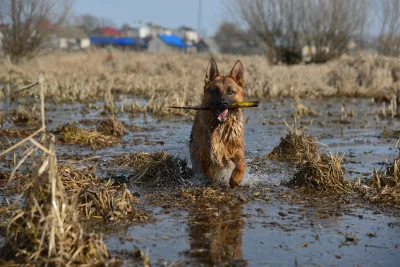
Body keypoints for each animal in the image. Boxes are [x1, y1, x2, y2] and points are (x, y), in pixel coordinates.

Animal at [189, 58, 245, 188]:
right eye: (215, 91)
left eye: (230, 91)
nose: (222, 103)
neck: (220, 126)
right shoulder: (204, 155)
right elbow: (209, 171)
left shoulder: (235, 149)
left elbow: (241, 164)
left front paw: (235, 179)